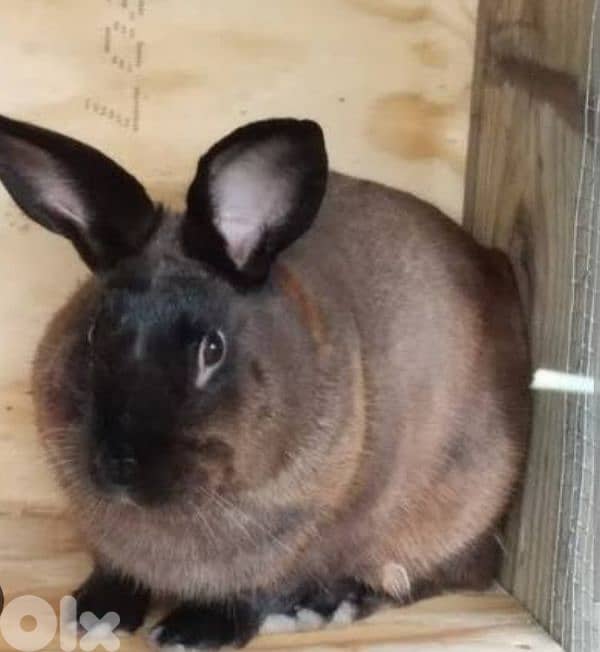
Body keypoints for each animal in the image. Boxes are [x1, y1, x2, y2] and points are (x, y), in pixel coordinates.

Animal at [0, 114, 530, 650]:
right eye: (93, 332)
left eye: (212, 349)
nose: (119, 466)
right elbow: (114, 569)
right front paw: (94, 614)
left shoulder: (313, 531)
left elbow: (261, 589)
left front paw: (190, 632)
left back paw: (328, 606)